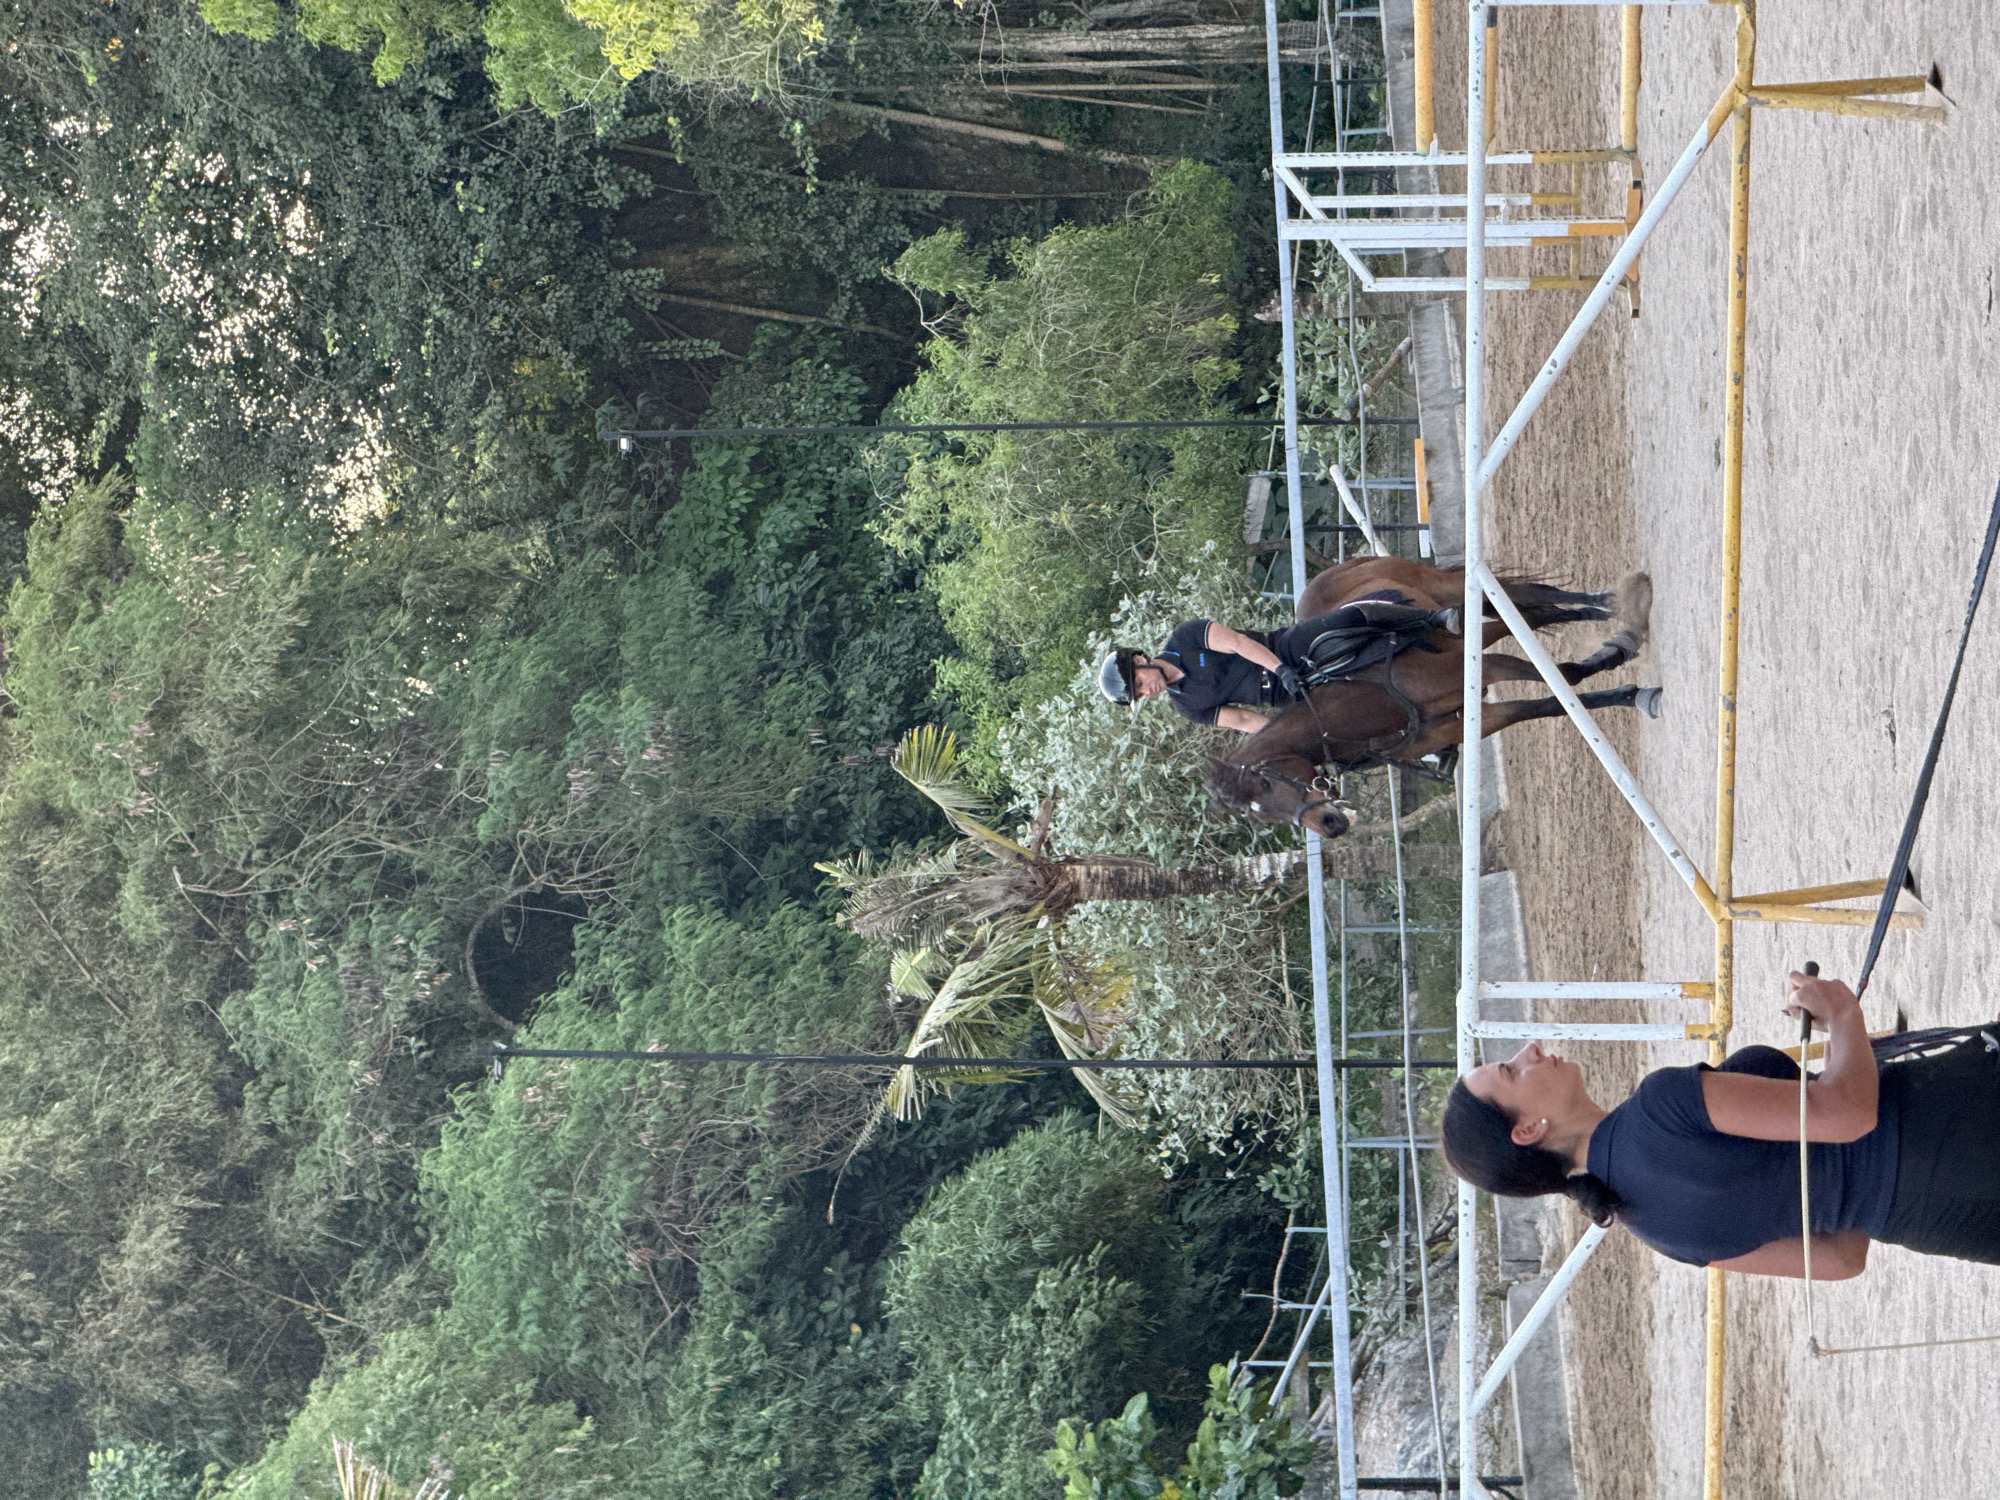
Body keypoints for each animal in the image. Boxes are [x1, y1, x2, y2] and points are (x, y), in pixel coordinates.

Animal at [1208, 558, 1658, 838]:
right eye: (1256, 815)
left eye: (1266, 782)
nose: (1329, 825)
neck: (1363, 702)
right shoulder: (1472, 719)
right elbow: (1545, 706)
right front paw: (1630, 692)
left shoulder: (1478, 667)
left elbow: (1565, 677)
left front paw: (1627, 667)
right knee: (1524, 612)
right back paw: (1602, 611)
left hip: (1446, 592)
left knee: (1521, 602)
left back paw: (1610, 604)